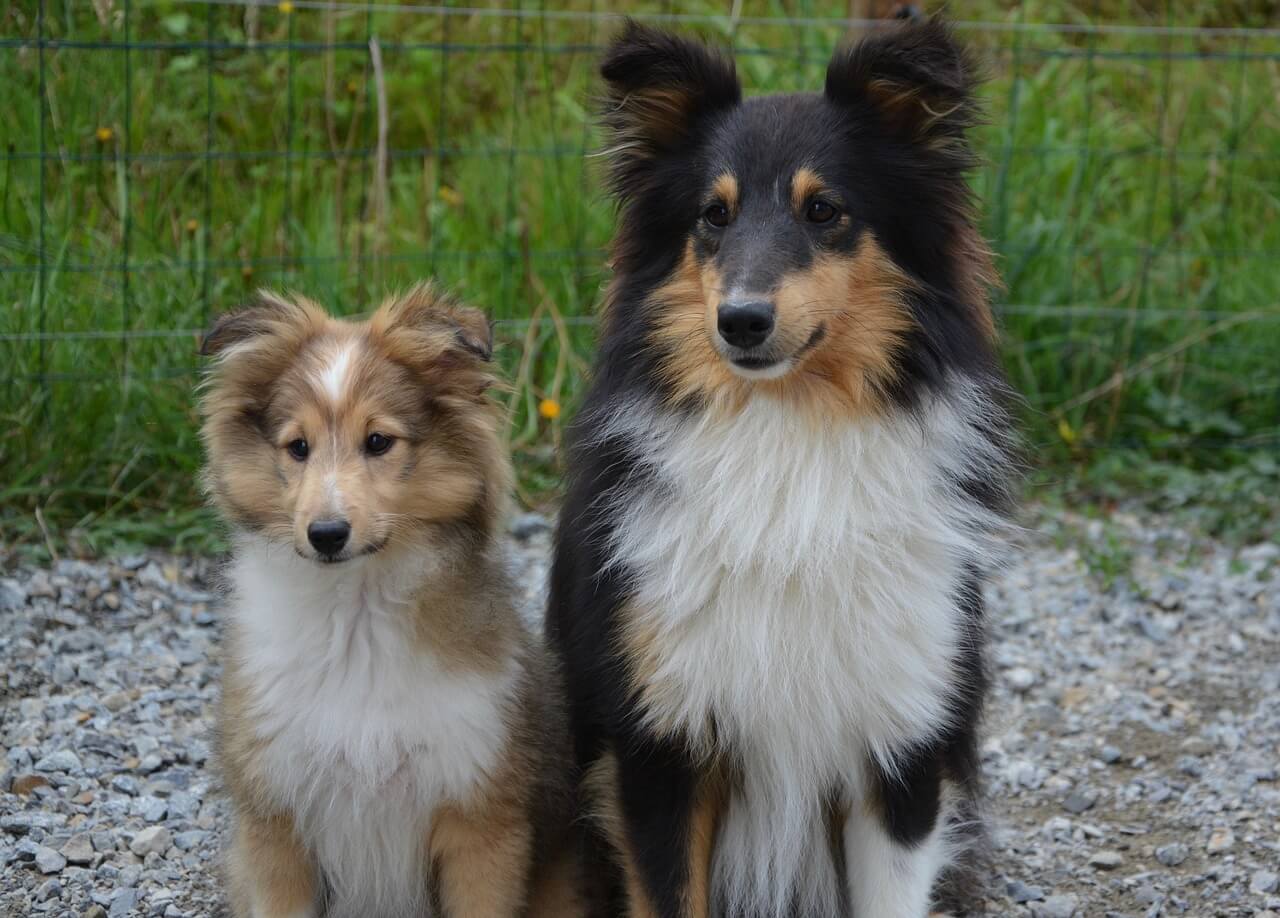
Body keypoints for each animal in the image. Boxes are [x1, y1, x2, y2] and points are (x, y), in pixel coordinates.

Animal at [199, 286, 581, 916]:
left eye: (378, 441)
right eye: (297, 447)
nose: (326, 534)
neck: (355, 619)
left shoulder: (481, 822)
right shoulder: (276, 823)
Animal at [545, 16, 1013, 916]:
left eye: (824, 210)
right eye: (713, 215)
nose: (741, 322)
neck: (789, 432)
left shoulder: (900, 744)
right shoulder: (661, 745)